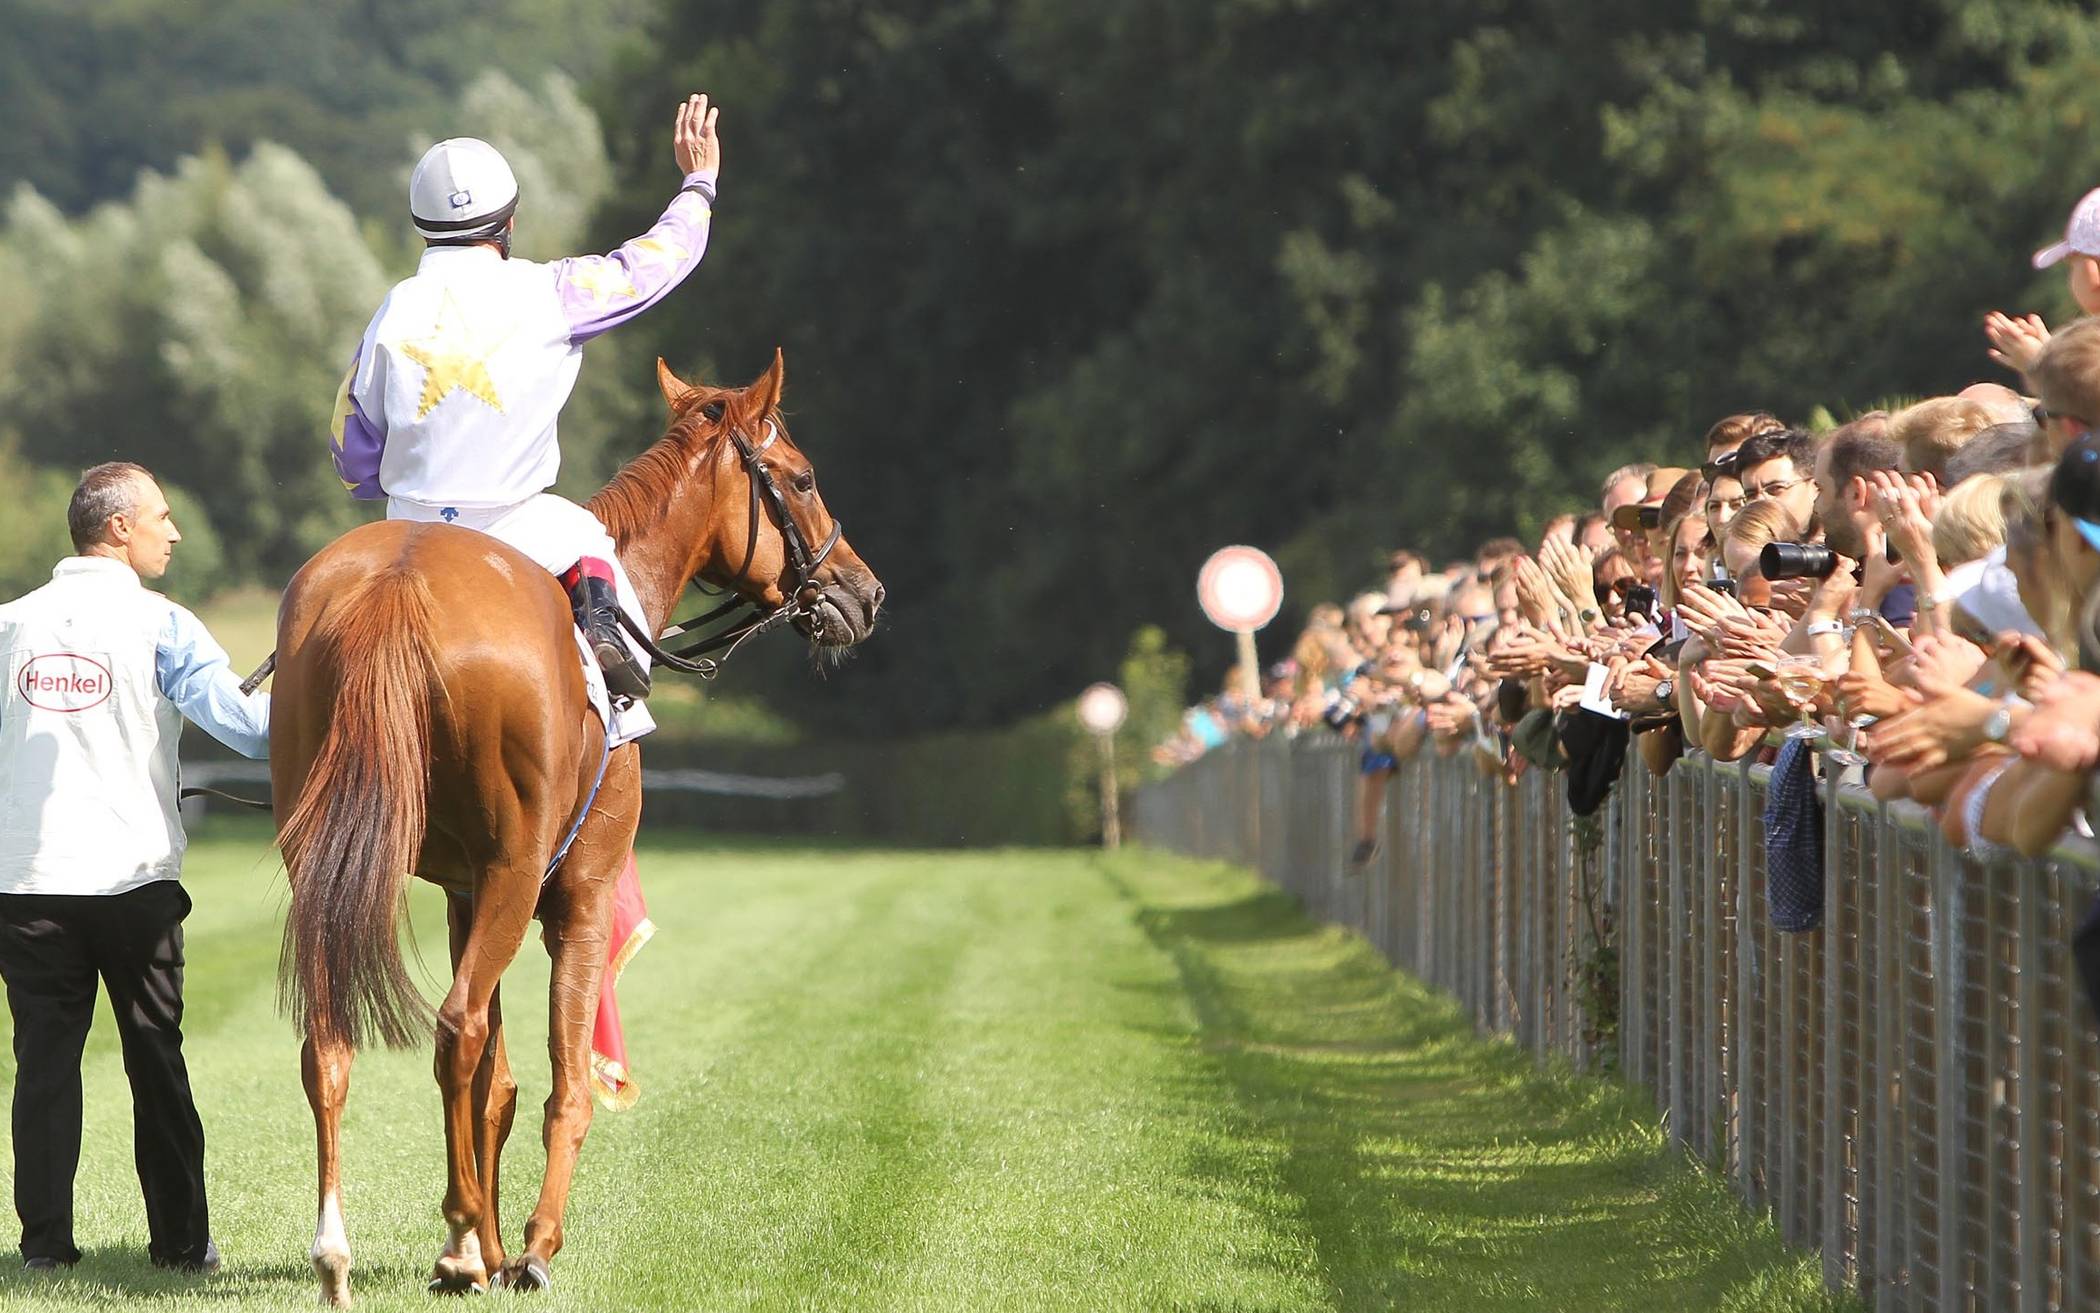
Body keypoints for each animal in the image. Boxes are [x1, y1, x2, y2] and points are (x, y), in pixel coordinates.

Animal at [268, 352, 877, 1302]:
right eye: (803, 476)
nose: (863, 590)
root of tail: (397, 579)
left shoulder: (465, 891)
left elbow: (501, 1082)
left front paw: (489, 1240)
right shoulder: (578, 896)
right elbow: (562, 1082)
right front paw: (527, 1245)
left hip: (327, 864)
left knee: (334, 1039)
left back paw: (343, 1251)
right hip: (520, 872)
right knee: (456, 1027)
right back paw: (459, 1240)